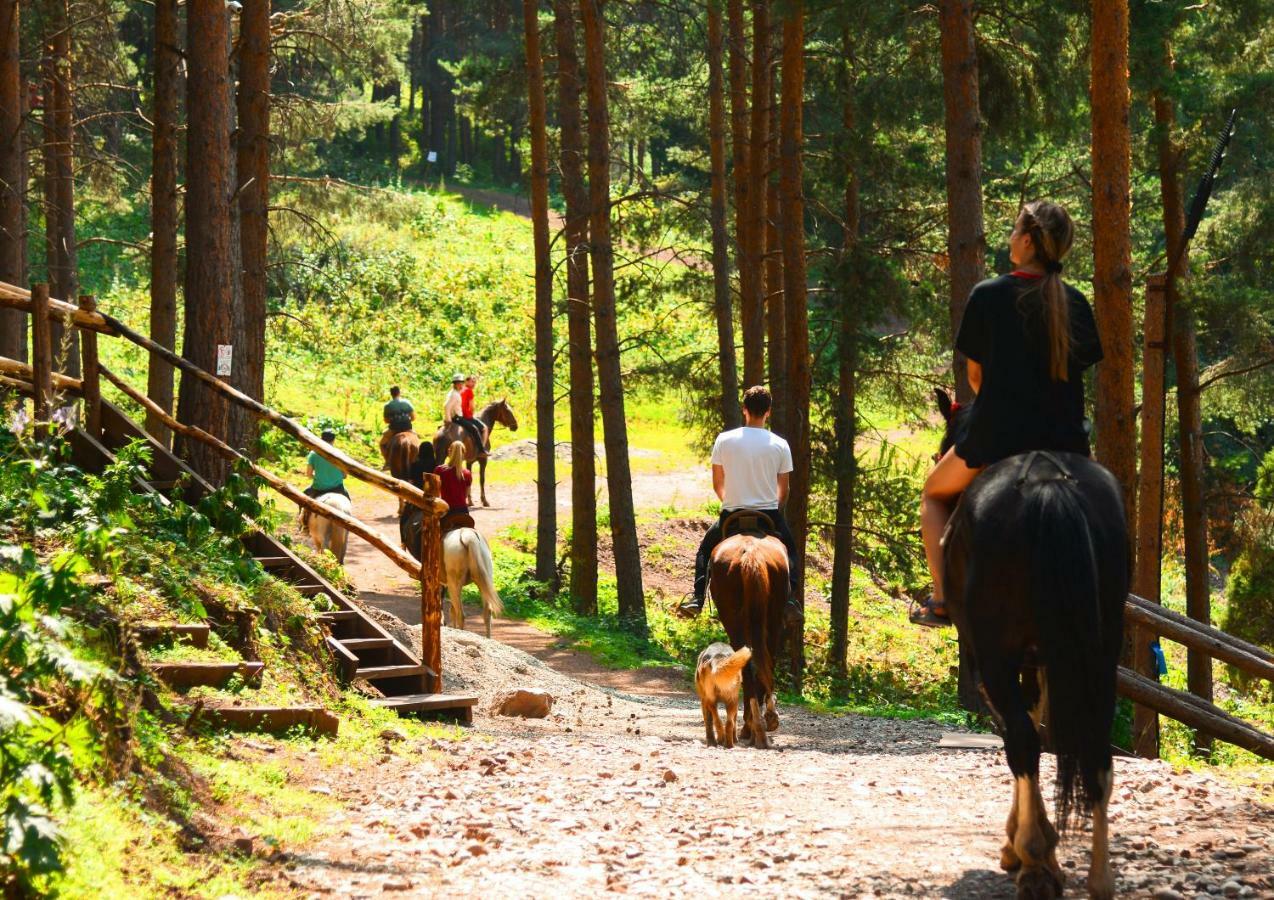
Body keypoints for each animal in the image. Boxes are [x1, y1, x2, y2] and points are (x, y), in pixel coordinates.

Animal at [708, 507, 784, 744]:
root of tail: (751, 552)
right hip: (773, 618)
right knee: (765, 658)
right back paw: (765, 720)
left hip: (735, 620)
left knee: (749, 660)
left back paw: (753, 726)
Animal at [937, 387, 1126, 897]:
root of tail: (1047, 482)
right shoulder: (1047, 659)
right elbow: (1045, 727)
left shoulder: (992, 658)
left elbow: (1021, 734)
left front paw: (1027, 847)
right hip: (1100, 651)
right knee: (1095, 747)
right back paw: (1099, 877)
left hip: (996, 653)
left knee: (1020, 740)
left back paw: (1034, 861)